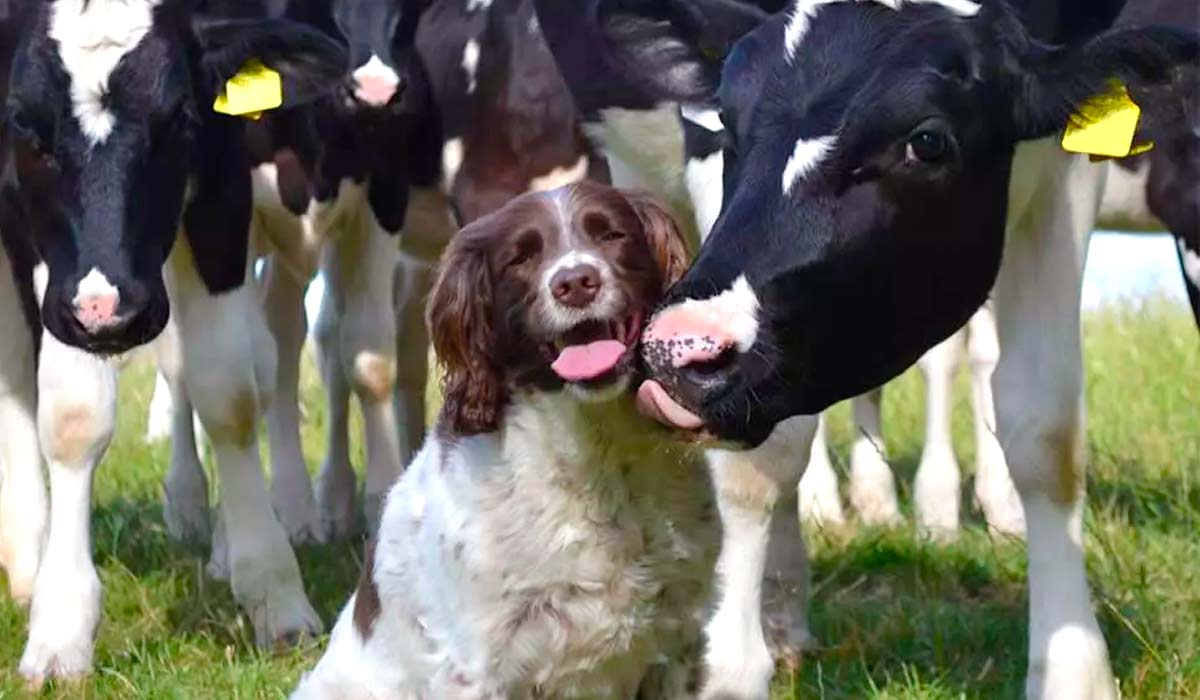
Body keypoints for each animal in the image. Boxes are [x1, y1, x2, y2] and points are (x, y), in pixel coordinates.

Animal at [0, 0, 348, 681]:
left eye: (179, 120)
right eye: (26, 128)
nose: (110, 314)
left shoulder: (223, 178)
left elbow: (228, 393)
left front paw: (273, 591)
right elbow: (74, 414)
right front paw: (60, 627)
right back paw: (28, 560)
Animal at [292, 182, 720, 700]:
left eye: (612, 234)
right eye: (520, 257)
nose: (576, 282)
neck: (597, 458)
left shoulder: (677, 643)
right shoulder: (477, 667)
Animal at [540, 0, 1195, 696]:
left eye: (927, 141)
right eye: (730, 122)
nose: (674, 350)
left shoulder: (1062, 162)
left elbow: (1045, 430)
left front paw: (1074, 673)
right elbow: (756, 464)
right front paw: (723, 665)